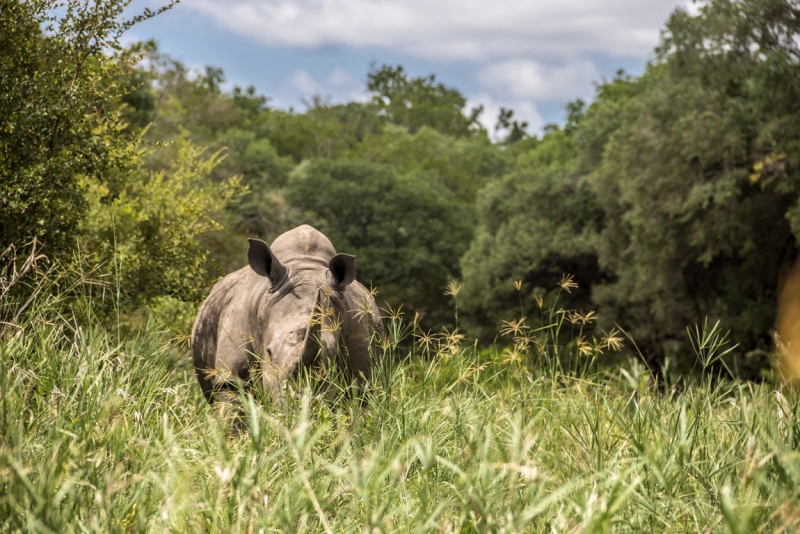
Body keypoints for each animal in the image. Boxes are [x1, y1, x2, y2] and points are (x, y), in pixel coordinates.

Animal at [191, 224, 384, 404]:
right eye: (268, 352)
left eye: (334, 355)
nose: (298, 401)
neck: (305, 265)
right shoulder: (230, 377)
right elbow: (233, 397)